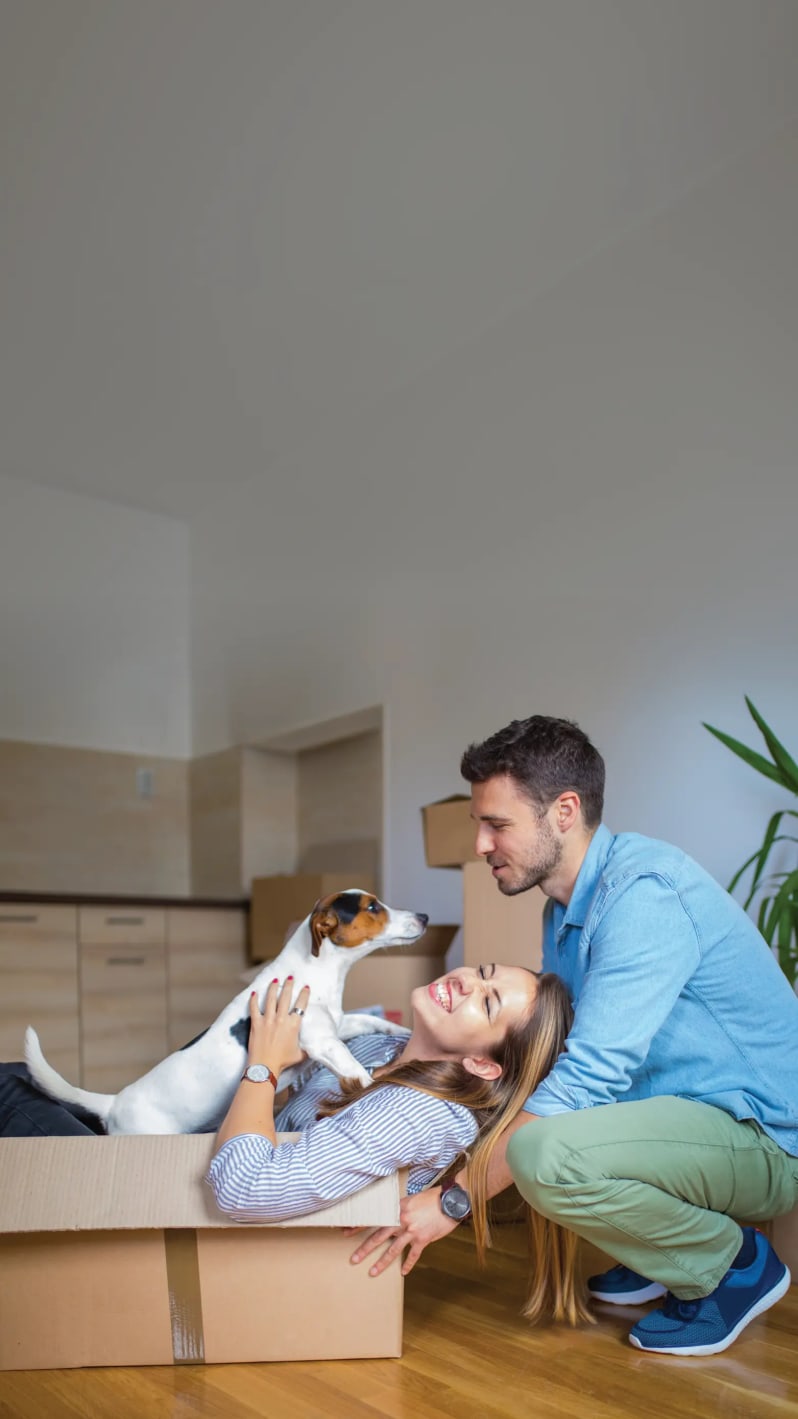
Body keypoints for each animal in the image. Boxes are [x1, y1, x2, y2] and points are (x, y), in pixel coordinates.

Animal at [21, 891, 425, 1135]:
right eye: (372, 907)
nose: (423, 914)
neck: (319, 971)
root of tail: (114, 1103)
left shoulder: (338, 1025)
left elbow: (373, 1021)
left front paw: (404, 1033)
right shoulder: (322, 1041)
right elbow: (357, 1073)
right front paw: (376, 1086)